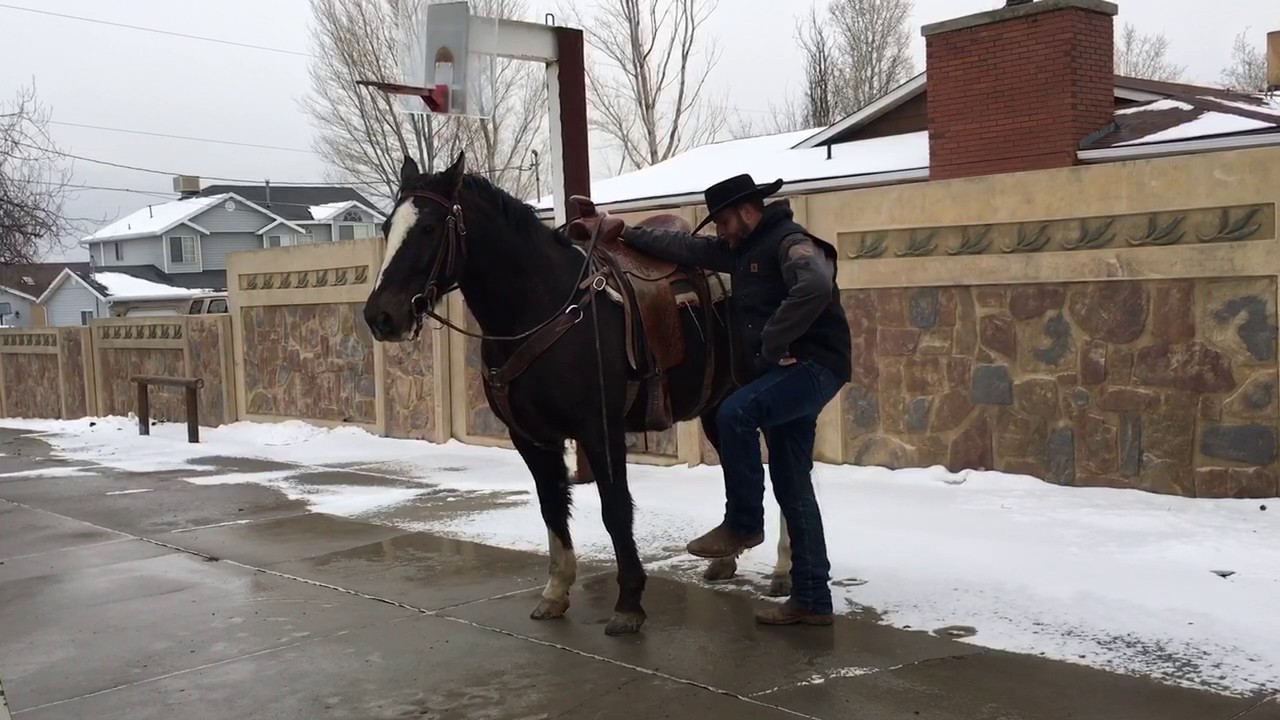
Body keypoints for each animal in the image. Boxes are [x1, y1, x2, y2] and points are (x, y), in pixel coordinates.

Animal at [363, 152, 790, 635]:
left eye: (431, 229)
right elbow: (552, 505)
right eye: (386, 227)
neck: (542, 307)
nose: (380, 316)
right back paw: (725, 558)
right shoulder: (530, 438)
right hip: (716, 406)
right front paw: (556, 591)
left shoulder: (598, 429)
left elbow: (615, 509)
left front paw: (629, 601)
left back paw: (783, 569)